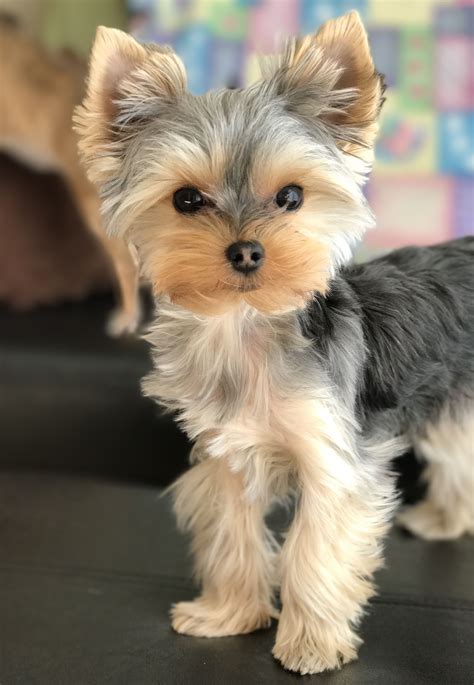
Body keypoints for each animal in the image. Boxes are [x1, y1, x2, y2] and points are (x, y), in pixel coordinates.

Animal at [75, 10, 474, 672]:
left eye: (291, 196)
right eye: (187, 199)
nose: (245, 251)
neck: (247, 328)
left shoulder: (334, 463)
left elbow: (313, 551)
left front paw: (309, 646)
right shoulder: (228, 455)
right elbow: (232, 533)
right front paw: (228, 615)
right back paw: (446, 520)